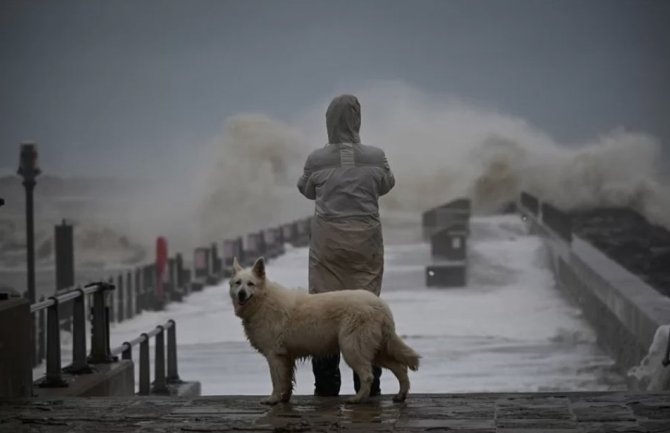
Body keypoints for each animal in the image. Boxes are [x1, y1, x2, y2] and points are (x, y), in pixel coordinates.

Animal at [231, 255, 420, 404]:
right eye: (237, 283)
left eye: (250, 284)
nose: (241, 294)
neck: (263, 300)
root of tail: (381, 305)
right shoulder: (286, 357)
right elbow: (287, 381)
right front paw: (284, 398)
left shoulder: (274, 355)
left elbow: (277, 381)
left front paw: (273, 399)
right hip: (376, 351)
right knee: (400, 368)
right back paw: (400, 395)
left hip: (352, 348)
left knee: (368, 376)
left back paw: (358, 399)